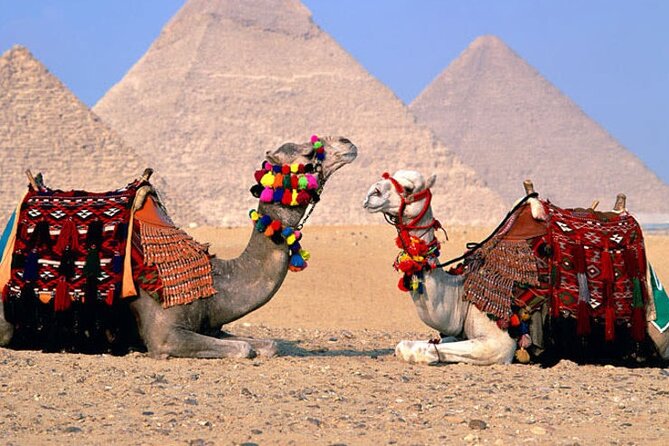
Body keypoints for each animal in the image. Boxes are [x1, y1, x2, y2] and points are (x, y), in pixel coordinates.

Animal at [0, 136, 357, 359]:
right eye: (309, 155)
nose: (348, 144)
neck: (218, 280)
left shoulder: (213, 325)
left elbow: (268, 344)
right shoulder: (165, 334)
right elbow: (245, 350)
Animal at [363, 170, 669, 365]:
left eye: (409, 188)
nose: (370, 193)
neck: (460, 295)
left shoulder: (499, 345)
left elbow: (424, 352)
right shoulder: (456, 330)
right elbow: (407, 346)